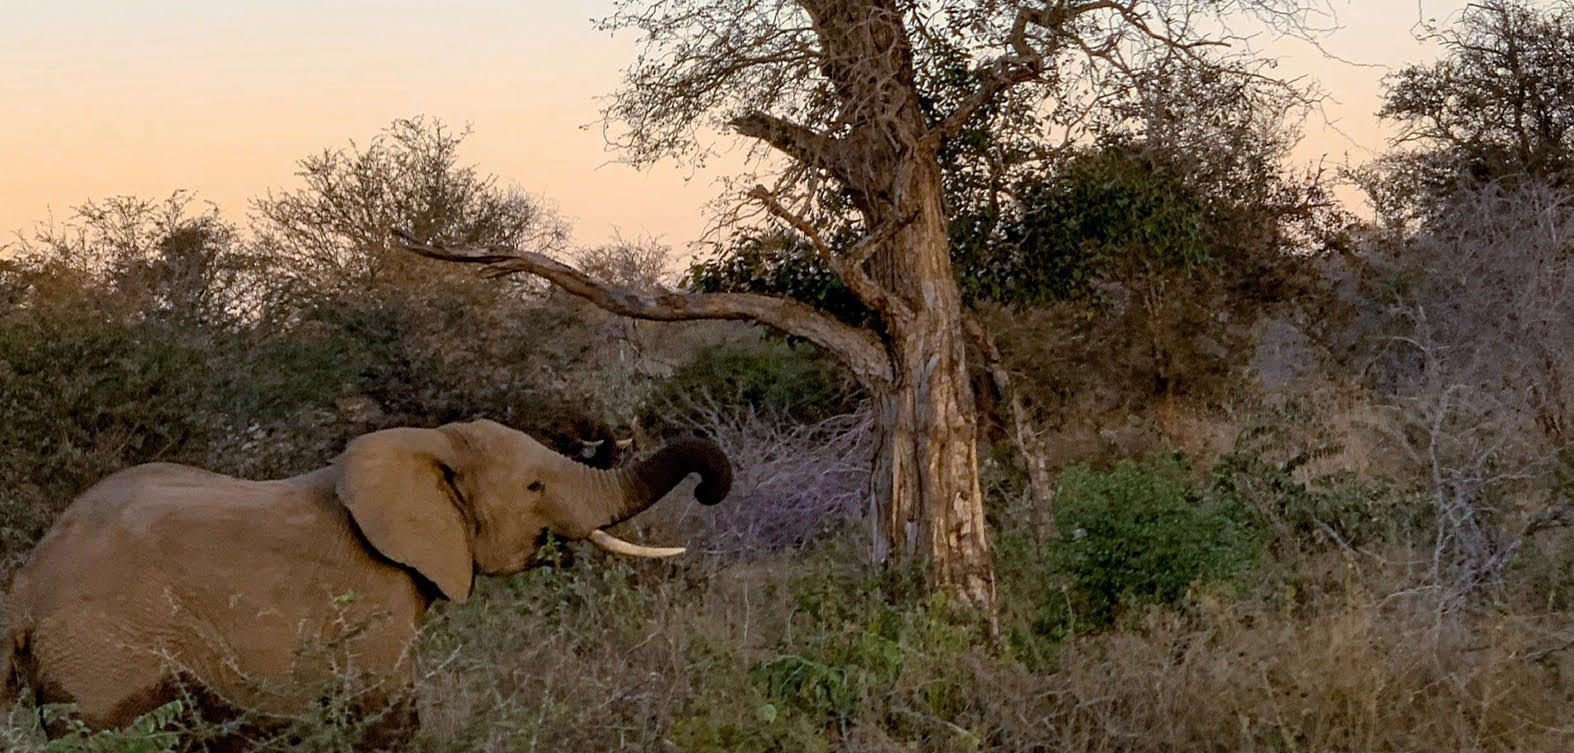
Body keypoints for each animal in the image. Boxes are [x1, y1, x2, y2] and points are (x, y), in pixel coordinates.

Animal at [0, 422, 727, 743]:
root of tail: (23, 589)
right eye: (534, 487)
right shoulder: (373, 596)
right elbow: (391, 718)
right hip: (105, 657)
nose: (708, 488)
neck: (428, 443)